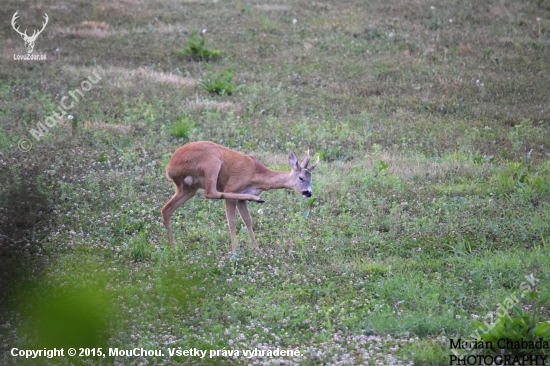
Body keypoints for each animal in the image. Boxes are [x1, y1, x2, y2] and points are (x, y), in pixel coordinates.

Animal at [162, 142, 320, 253]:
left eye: (311, 179)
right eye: (301, 178)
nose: (308, 192)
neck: (256, 175)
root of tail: (170, 167)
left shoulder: (241, 200)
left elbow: (248, 220)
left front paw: (257, 250)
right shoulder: (233, 188)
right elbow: (232, 222)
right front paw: (234, 252)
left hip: (188, 188)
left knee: (166, 209)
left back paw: (173, 247)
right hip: (212, 161)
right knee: (211, 192)